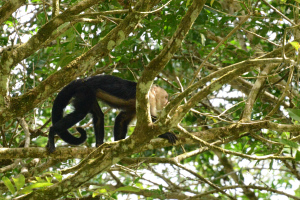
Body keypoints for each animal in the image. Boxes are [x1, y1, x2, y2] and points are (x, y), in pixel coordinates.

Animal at [46, 74, 177, 152]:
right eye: (165, 97)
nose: (167, 101)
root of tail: (83, 80)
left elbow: (122, 119)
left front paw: (118, 144)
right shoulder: (148, 98)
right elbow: (150, 125)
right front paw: (167, 134)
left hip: (89, 94)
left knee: (98, 115)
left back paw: (99, 145)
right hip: (85, 91)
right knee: (80, 113)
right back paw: (52, 132)